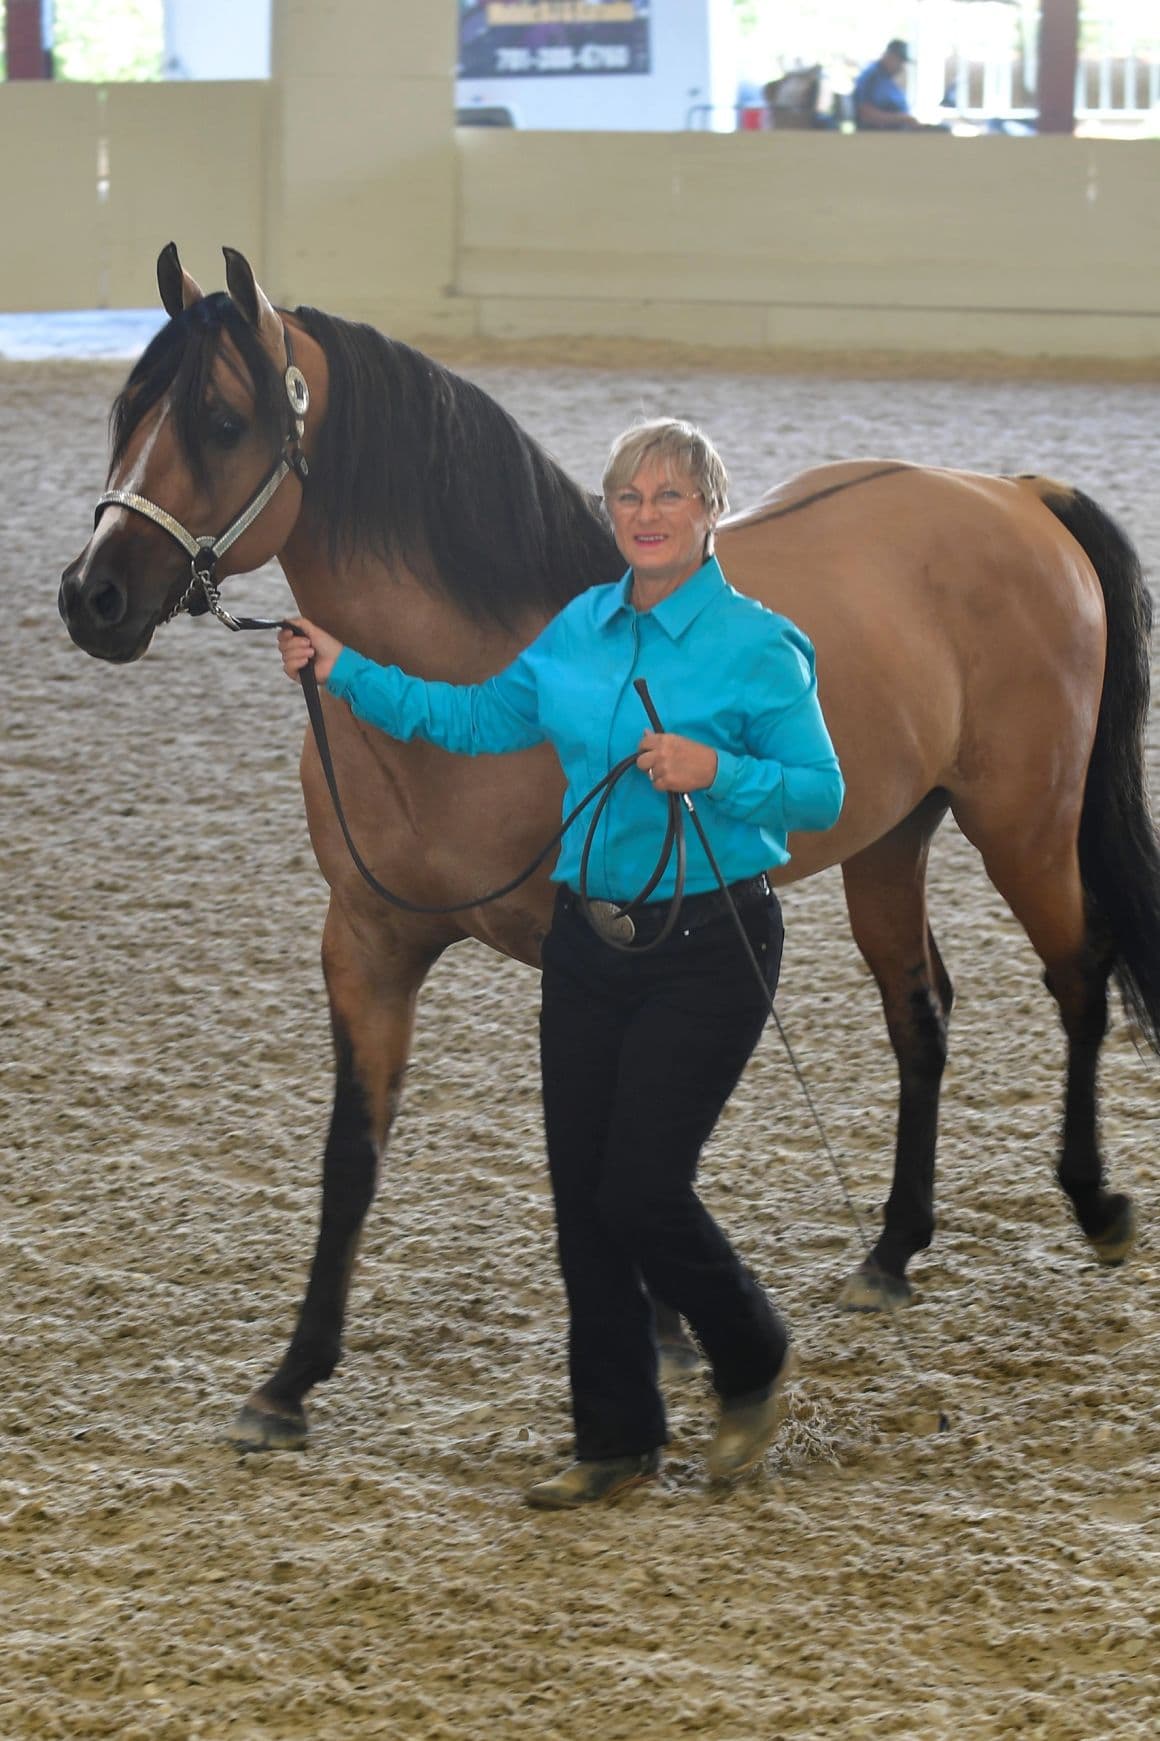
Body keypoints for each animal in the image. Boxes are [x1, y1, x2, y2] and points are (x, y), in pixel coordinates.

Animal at [59, 244, 1157, 1451]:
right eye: (126, 411)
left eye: (219, 420)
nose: (91, 596)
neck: (478, 673)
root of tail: (1010, 495)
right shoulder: (365, 945)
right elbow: (353, 1155)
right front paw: (290, 1379)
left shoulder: (583, 944)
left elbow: (602, 1142)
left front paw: (664, 1335)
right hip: (889, 840)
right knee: (920, 1014)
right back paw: (890, 1248)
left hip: (1024, 820)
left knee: (1079, 975)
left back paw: (1095, 1201)